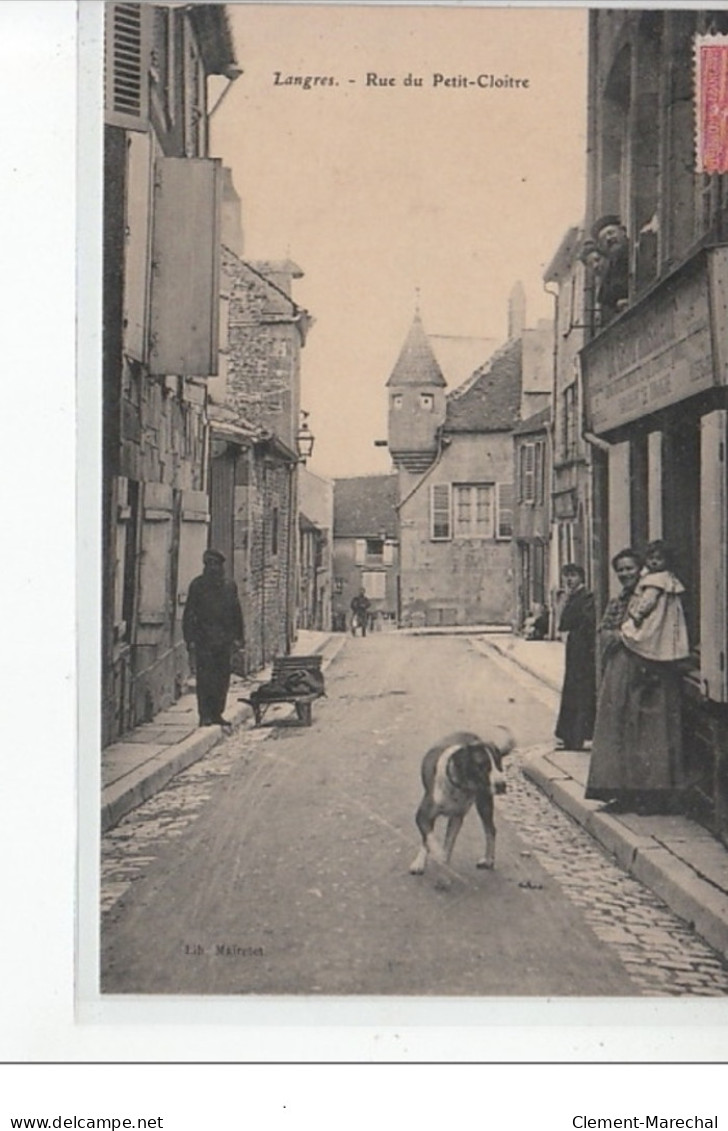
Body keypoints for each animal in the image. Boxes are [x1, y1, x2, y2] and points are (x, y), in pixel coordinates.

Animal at [409, 728, 517, 877]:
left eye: (498, 764)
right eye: (481, 766)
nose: (502, 785)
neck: (458, 787)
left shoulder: (456, 818)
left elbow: (447, 843)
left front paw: (443, 861)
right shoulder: (423, 816)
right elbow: (429, 839)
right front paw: (429, 858)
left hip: (484, 803)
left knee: (490, 830)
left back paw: (488, 859)